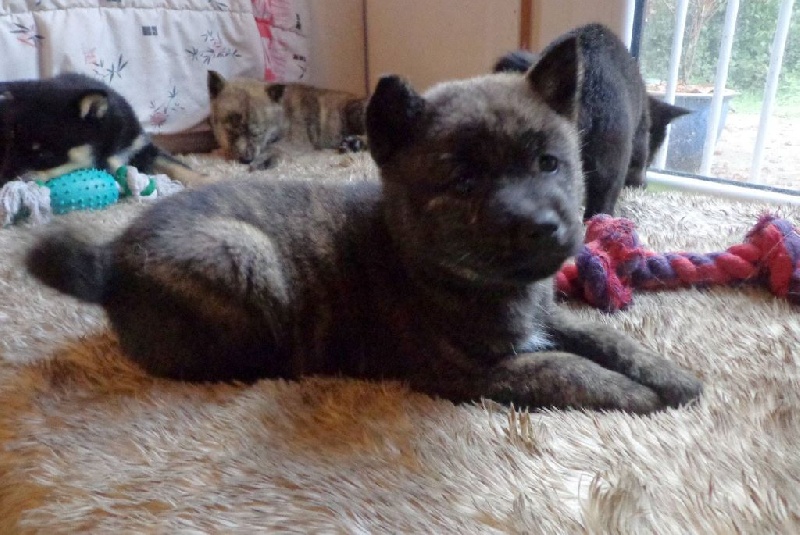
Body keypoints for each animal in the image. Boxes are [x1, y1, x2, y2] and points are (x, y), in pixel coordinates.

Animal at [0, 73, 210, 187]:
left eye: (44, 155)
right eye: (10, 145)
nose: (4, 181)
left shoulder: (139, 146)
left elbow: (175, 165)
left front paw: (205, 182)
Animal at [207, 71, 367, 170]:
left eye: (258, 133)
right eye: (231, 130)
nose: (246, 159)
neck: (281, 115)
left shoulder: (297, 142)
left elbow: (278, 147)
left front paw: (267, 158)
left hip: (354, 110)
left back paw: (355, 142)